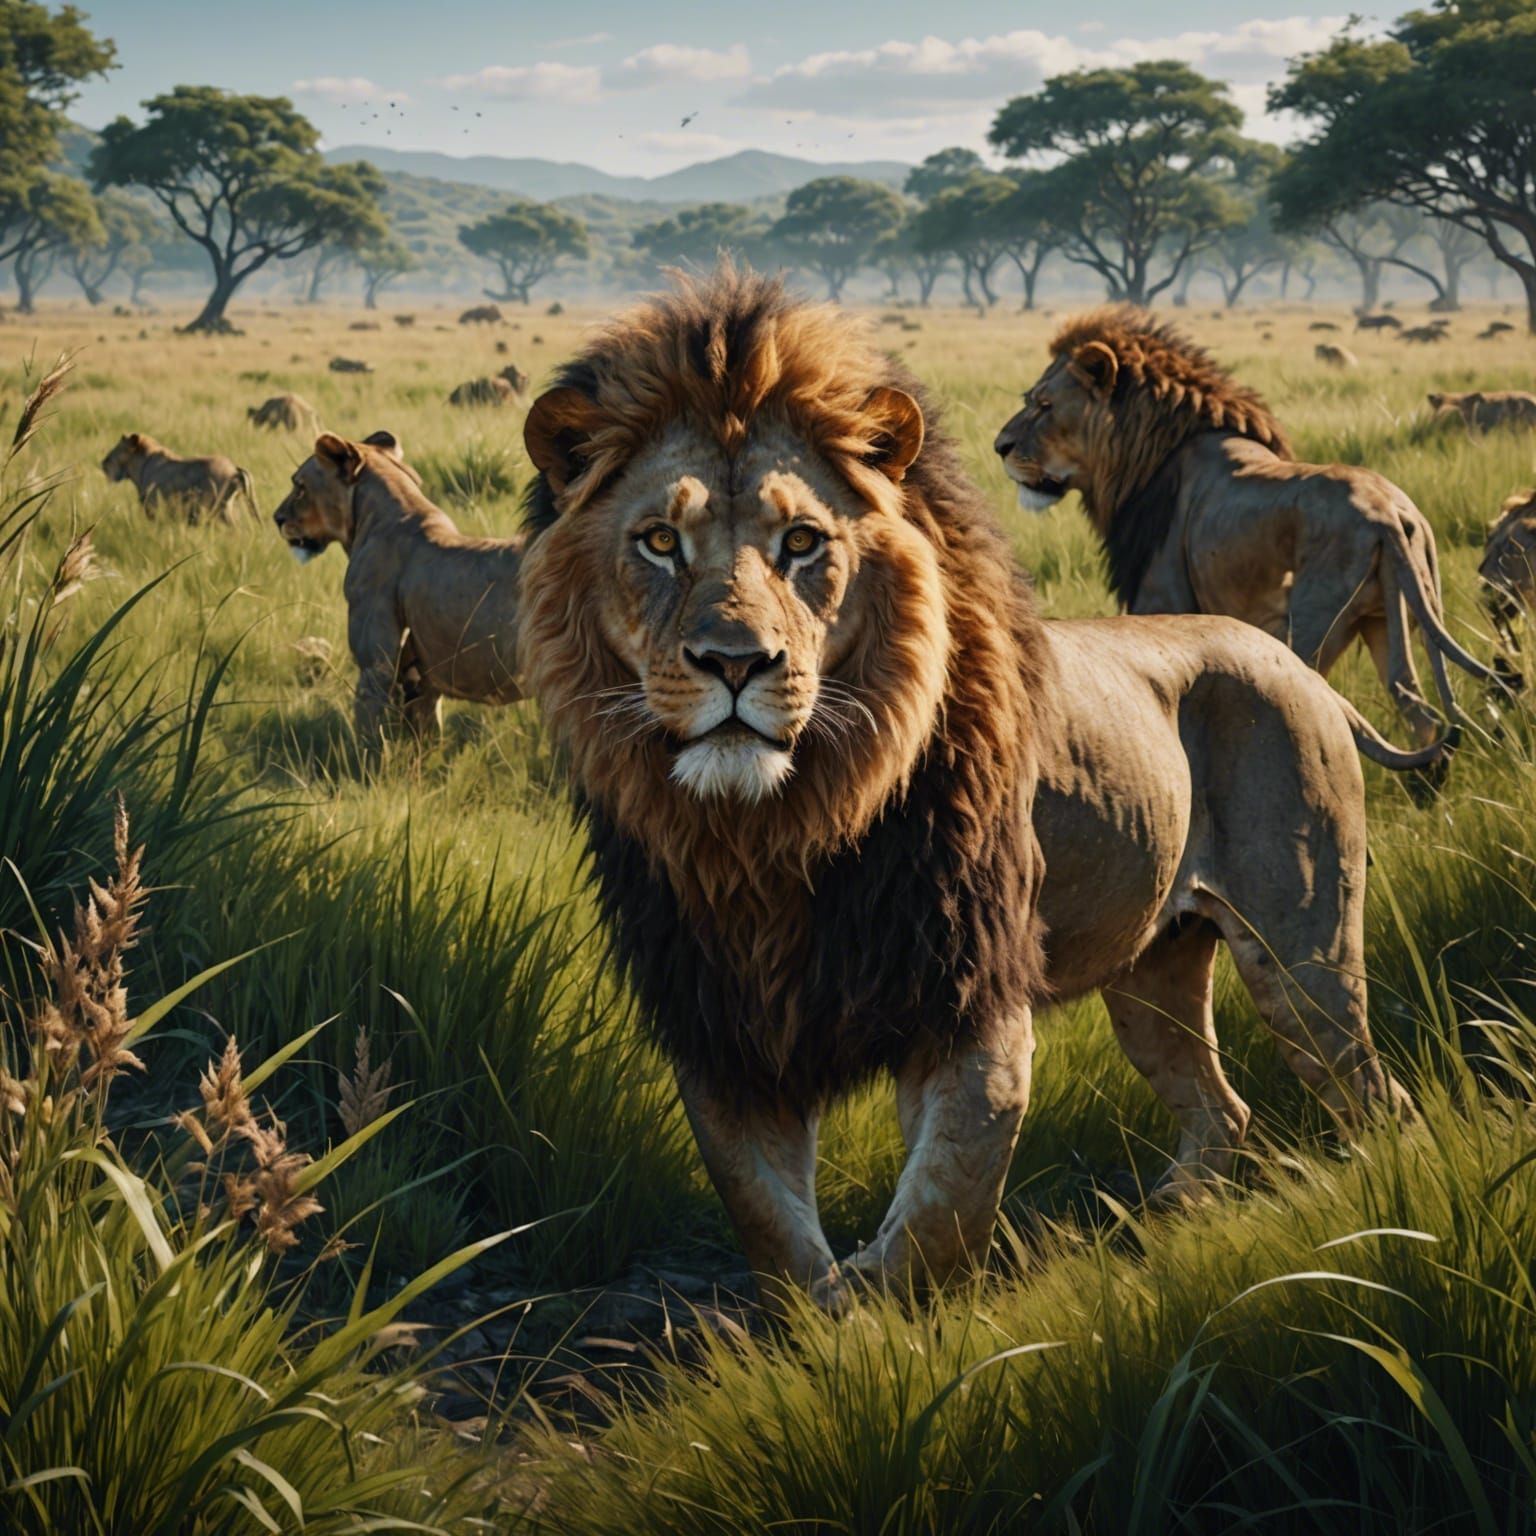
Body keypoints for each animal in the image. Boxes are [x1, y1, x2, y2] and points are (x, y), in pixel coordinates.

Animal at [272, 429, 523, 748]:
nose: (276, 518)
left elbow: (370, 739)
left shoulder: (375, 666)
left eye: (300, 486)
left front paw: (364, 762)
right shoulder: (421, 679)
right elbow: (425, 738)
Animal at [517, 268, 1412, 1312]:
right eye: (660, 541)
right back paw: (1162, 1224)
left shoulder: (968, 995)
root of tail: (1301, 670)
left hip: (1304, 954)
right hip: (1151, 972)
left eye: (802, 541)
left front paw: (880, 1316)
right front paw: (817, 1320)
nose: (736, 663)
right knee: (1221, 1112)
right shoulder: (724, 1035)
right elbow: (772, 1226)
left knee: (1368, 1090)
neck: (775, 833)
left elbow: (939, 1214)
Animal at [995, 308, 1496, 785]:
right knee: (1415, 706)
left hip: (1312, 628)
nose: (1000, 446)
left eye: (1044, 405)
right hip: (1387, 617)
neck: (1143, 458)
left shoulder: (1162, 602)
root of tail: (1390, 514)